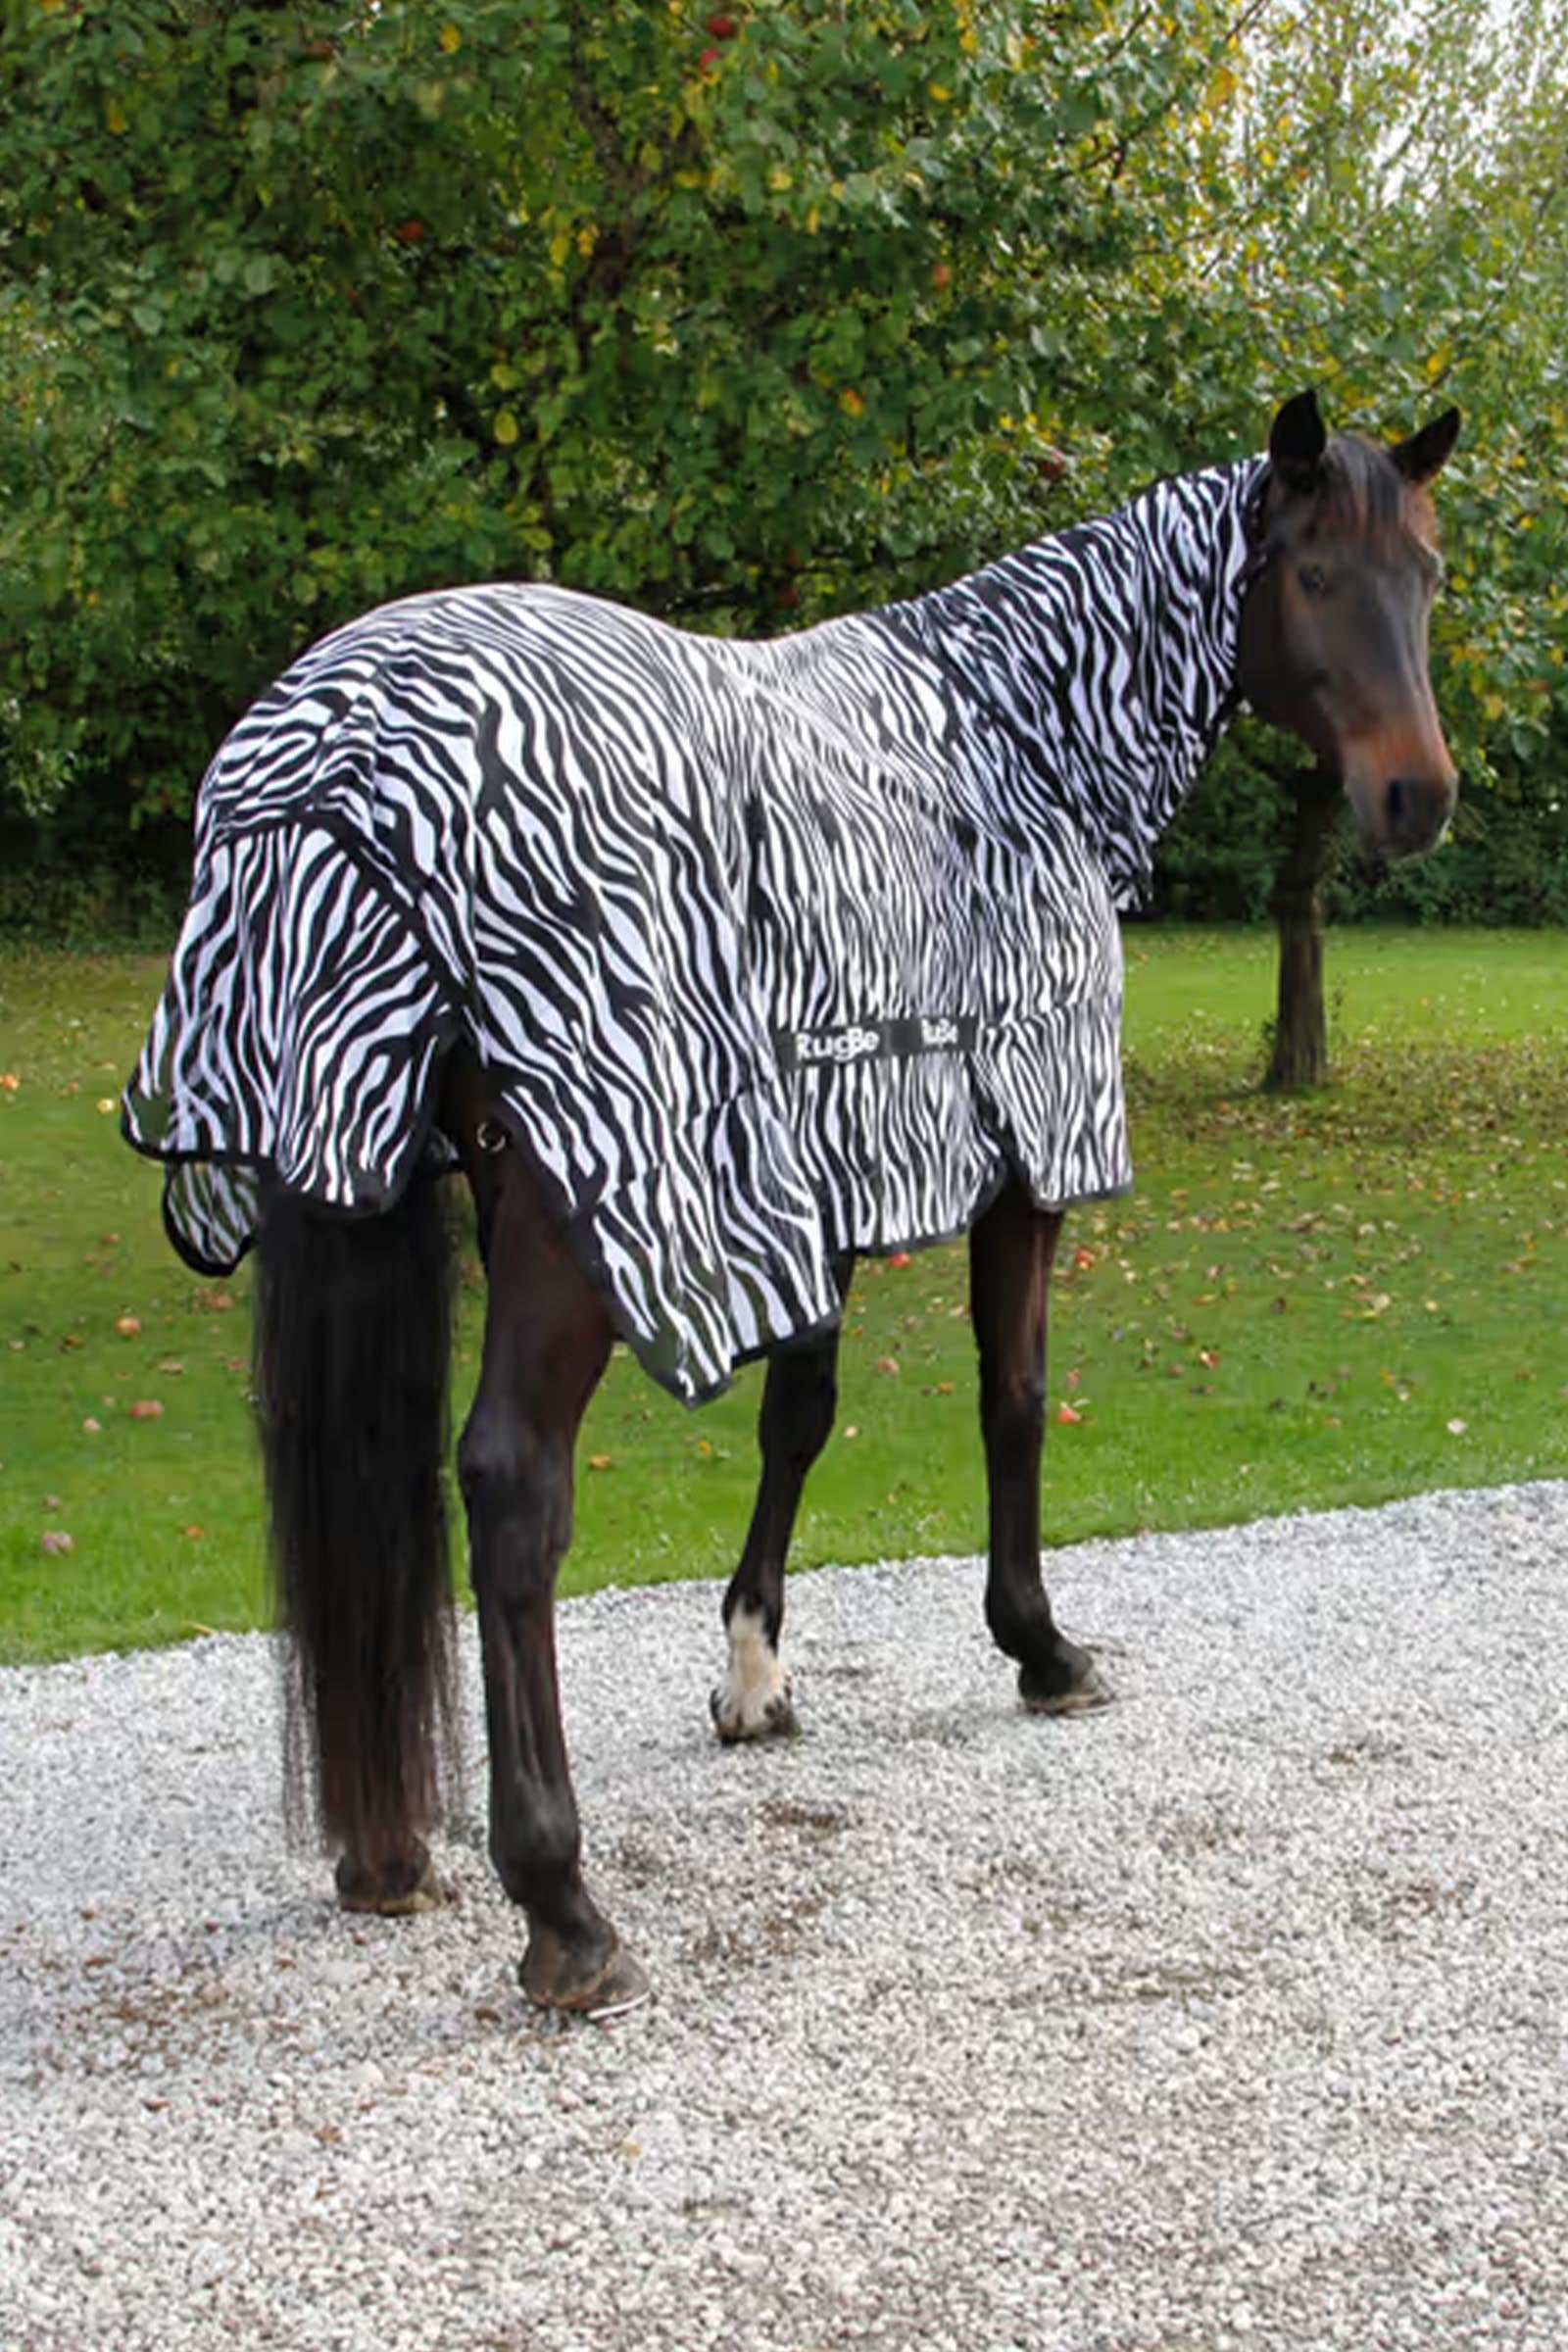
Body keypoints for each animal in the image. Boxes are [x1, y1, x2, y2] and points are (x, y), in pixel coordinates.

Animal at [125, 390, 1460, 2017]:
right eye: (1315, 575)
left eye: (1430, 573)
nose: (1418, 797)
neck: (1009, 738)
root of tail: (334, 758)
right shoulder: (1020, 1150)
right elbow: (1013, 1397)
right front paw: (1040, 1647)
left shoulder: (819, 1171)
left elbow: (799, 1411)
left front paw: (753, 1673)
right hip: (576, 1210)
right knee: (510, 1487)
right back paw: (560, 1902)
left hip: (352, 1157)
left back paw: (387, 1854)